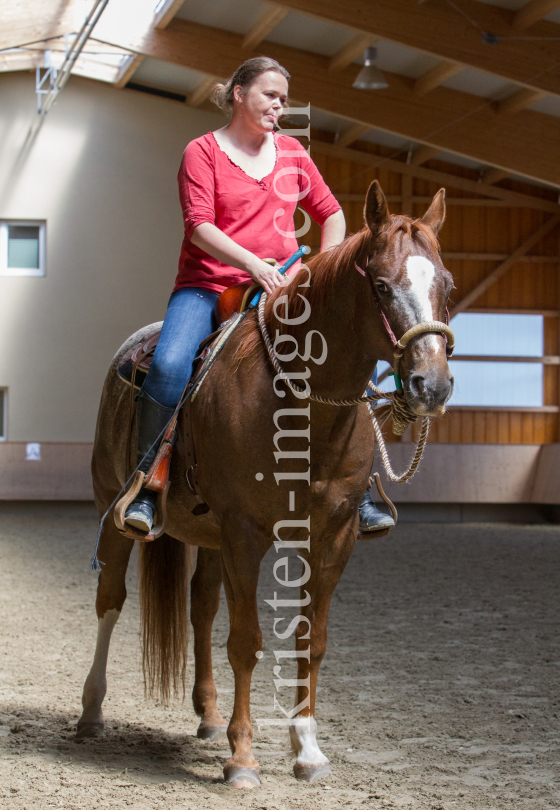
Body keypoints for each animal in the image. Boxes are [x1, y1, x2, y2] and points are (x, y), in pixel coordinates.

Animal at [77, 181, 456, 784]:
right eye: (380, 284)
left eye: (447, 284)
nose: (432, 385)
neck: (302, 410)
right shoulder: (245, 532)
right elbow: (247, 641)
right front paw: (243, 759)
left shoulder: (333, 536)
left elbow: (309, 640)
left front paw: (308, 750)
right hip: (114, 511)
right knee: (110, 599)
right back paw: (92, 713)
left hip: (209, 538)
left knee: (201, 605)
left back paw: (208, 716)